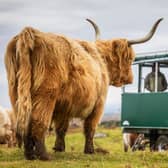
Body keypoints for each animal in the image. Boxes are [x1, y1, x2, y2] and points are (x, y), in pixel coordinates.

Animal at [4, 18, 163, 160]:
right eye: (130, 58)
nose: (131, 78)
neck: (100, 60)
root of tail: (30, 33)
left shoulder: (64, 106)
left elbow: (61, 128)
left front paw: (59, 148)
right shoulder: (99, 103)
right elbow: (90, 127)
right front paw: (89, 150)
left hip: (16, 93)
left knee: (23, 122)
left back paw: (29, 154)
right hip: (46, 95)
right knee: (38, 121)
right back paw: (43, 155)